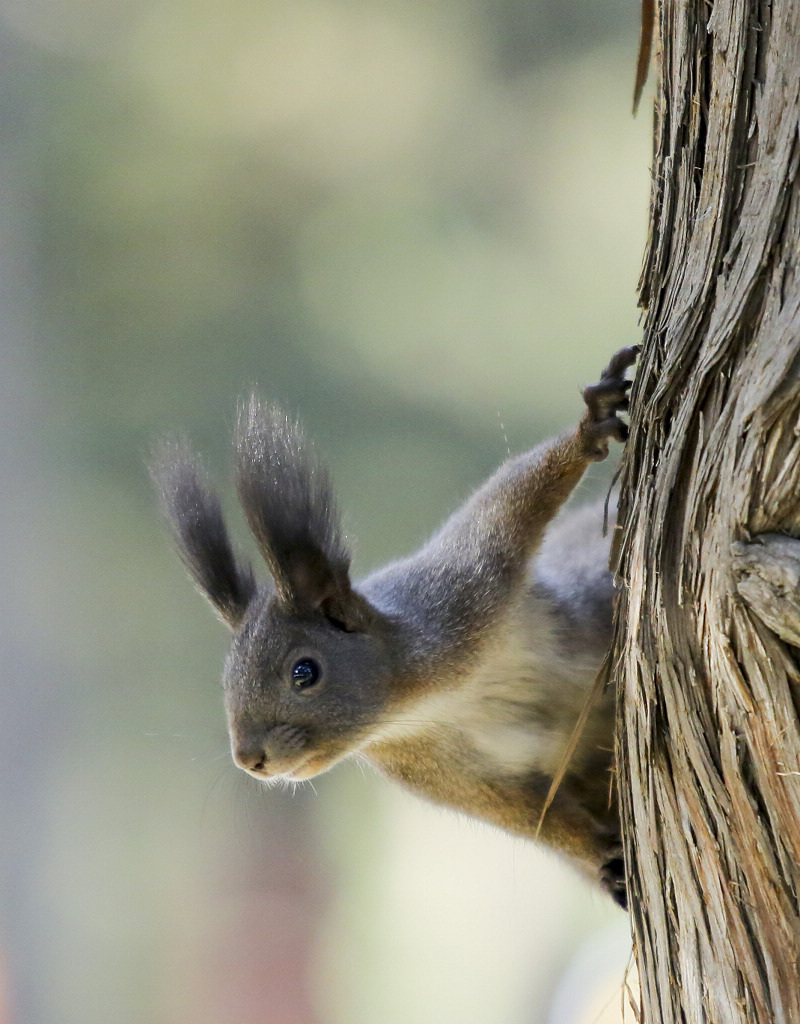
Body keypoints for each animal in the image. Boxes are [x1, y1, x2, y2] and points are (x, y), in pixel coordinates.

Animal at [151, 348, 635, 909]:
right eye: (225, 680)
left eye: (304, 672)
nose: (249, 759)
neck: (421, 701)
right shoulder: (434, 770)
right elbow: (533, 817)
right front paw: (604, 857)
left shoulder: (460, 591)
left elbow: (514, 495)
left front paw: (590, 424)